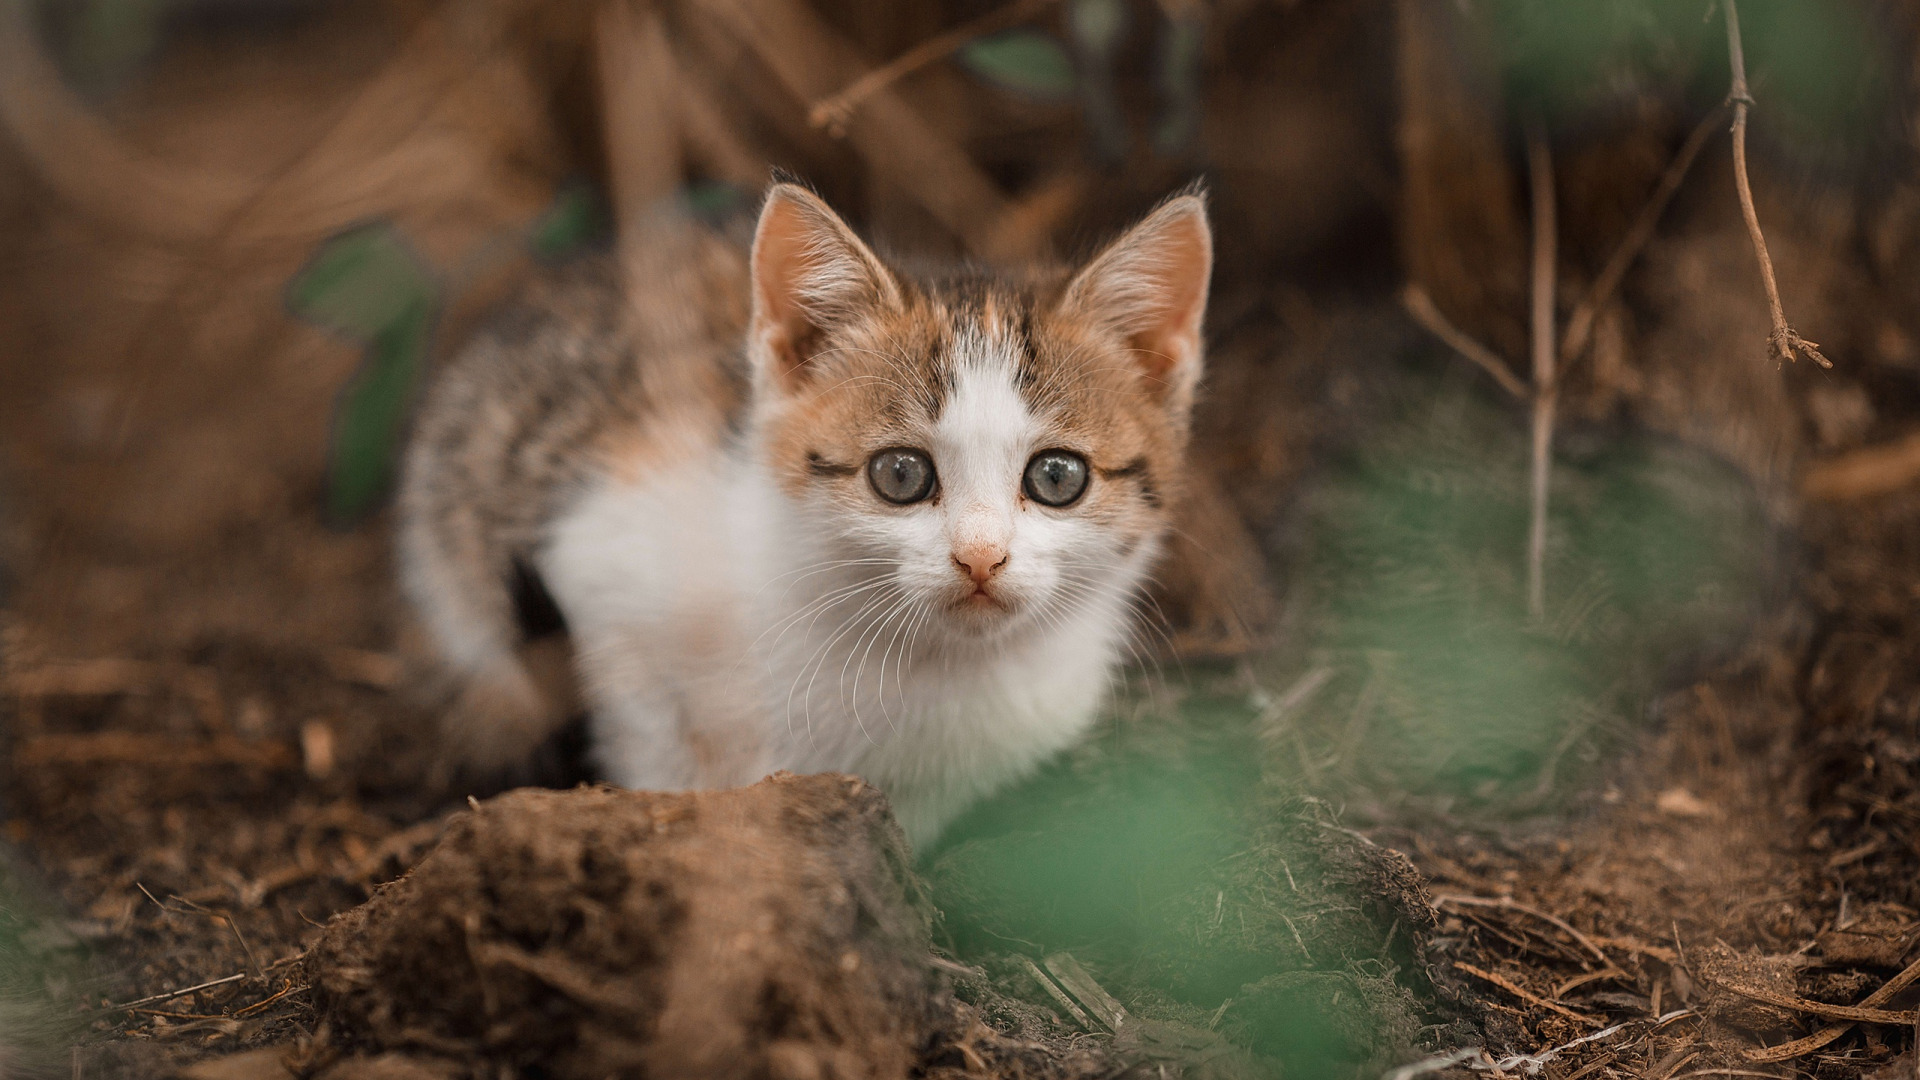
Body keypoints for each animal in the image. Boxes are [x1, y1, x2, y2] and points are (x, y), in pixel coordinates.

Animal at [401, 180, 1213, 845]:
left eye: (1056, 476)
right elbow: (648, 731)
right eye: (900, 474)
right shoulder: (602, 557)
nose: (980, 557)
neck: (926, 668)